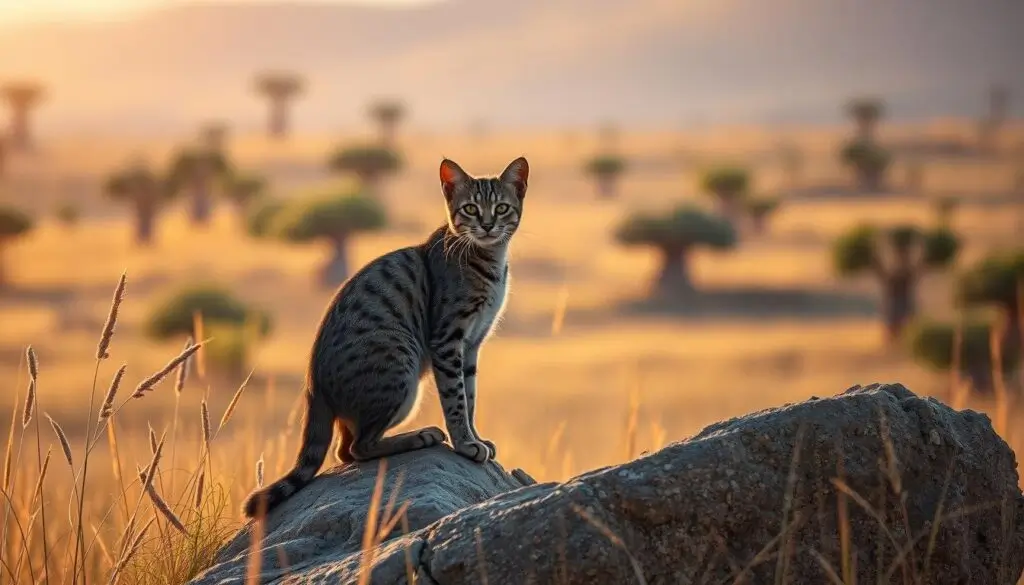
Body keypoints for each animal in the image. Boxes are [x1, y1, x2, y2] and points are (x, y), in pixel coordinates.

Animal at [239, 155, 528, 516]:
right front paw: (465, 444)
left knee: (345, 449)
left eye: (501, 208)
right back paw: (419, 436)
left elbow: (470, 398)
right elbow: (456, 400)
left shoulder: (473, 344)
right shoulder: (448, 340)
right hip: (400, 367)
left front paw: (476, 438)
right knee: (356, 448)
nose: (488, 225)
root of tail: (313, 384)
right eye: (471, 209)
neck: (487, 261)